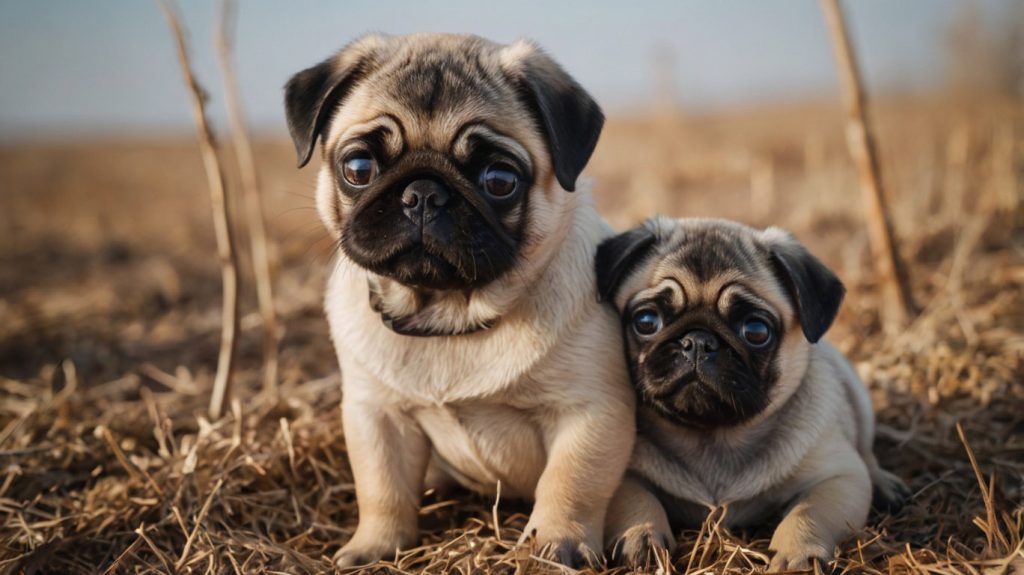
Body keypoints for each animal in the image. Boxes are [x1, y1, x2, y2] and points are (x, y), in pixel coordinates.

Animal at [284, 33, 634, 564]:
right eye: (359, 168)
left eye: (500, 180)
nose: (423, 194)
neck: (448, 318)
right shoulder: (376, 416)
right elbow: (381, 486)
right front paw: (375, 546)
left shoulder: (589, 413)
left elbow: (570, 483)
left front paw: (556, 544)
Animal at [598, 215, 909, 568]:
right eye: (647, 321)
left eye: (756, 331)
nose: (698, 341)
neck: (712, 438)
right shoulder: (621, 476)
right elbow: (636, 499)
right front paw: (642, 536)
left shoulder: (839, 478)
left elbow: (807, 513)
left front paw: (796, 554)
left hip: (857, 395)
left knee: (866, 450)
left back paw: (884, 484)